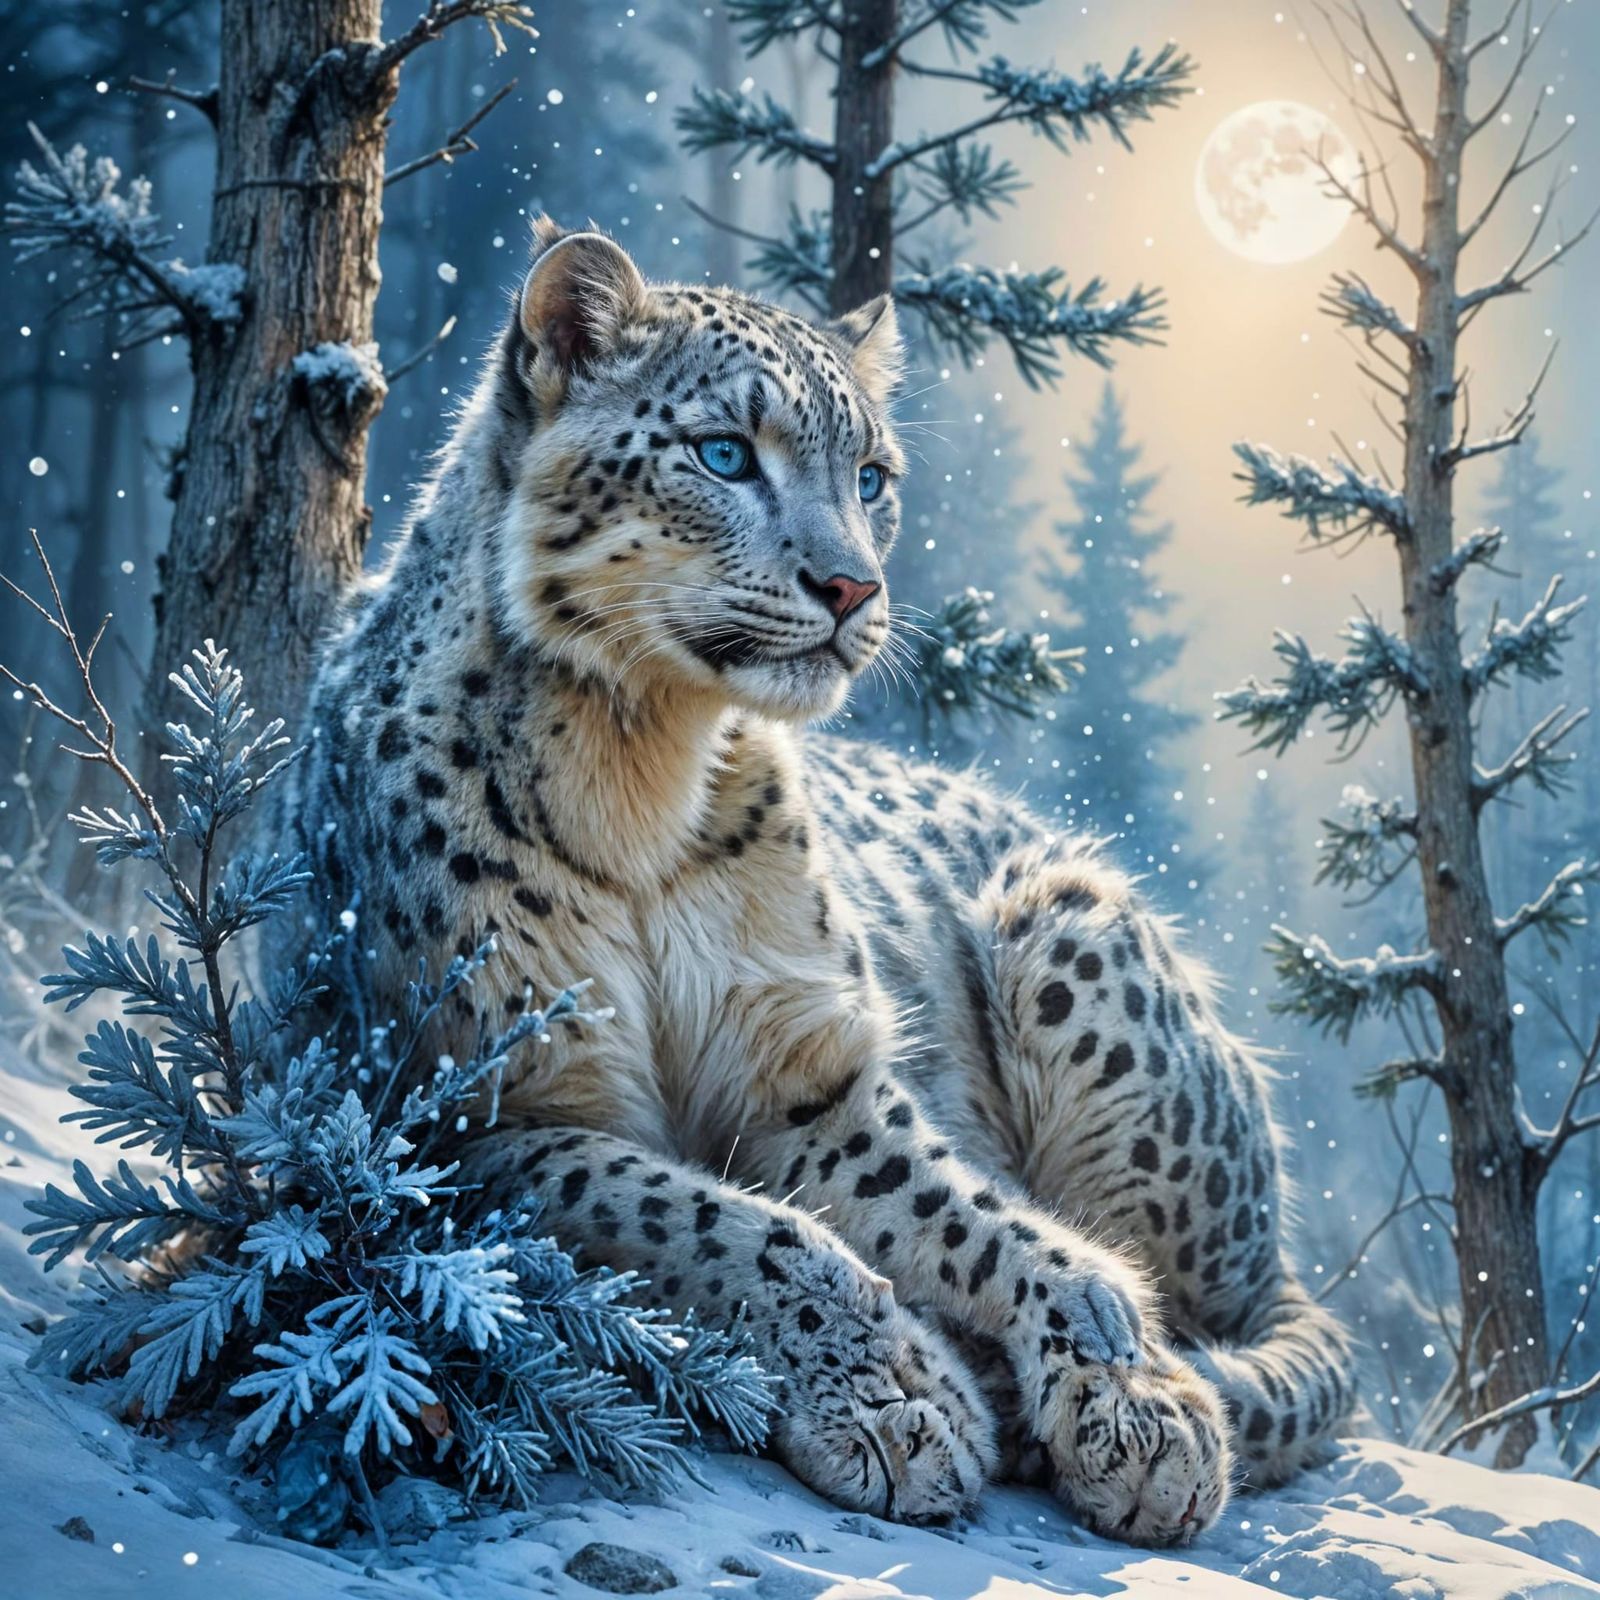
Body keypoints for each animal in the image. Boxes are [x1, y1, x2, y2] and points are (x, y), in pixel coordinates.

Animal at [285, 218, 1355, 1546]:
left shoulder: (808, 1062)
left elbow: (961, 1210)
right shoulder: (482, 1106)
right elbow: (716, 1220)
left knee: (1223, 1306)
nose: (852, 587)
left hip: (1070, 921)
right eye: (723, 453)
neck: (642, 780)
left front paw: (1132, 1396)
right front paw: (897, 1398)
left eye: (873, 476)